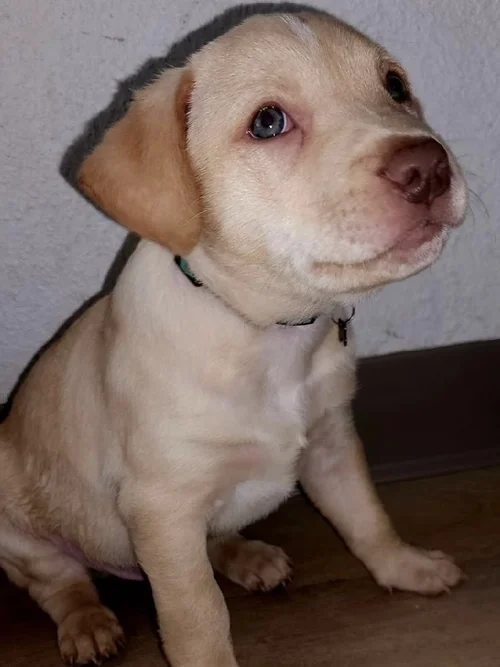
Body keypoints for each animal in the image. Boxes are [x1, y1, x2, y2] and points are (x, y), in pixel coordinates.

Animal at [0, 11, 468, 667]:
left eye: (395, 86)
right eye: (268, 122)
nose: (428, 168)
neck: (271, 335)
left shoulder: (332, 444)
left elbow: (367, 517)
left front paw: (407, 568)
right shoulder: (163, 510)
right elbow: (198, 618)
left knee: (217, 540)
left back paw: (250, 557)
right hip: (22, 532)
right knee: (59, 582)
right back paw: (87, 623)